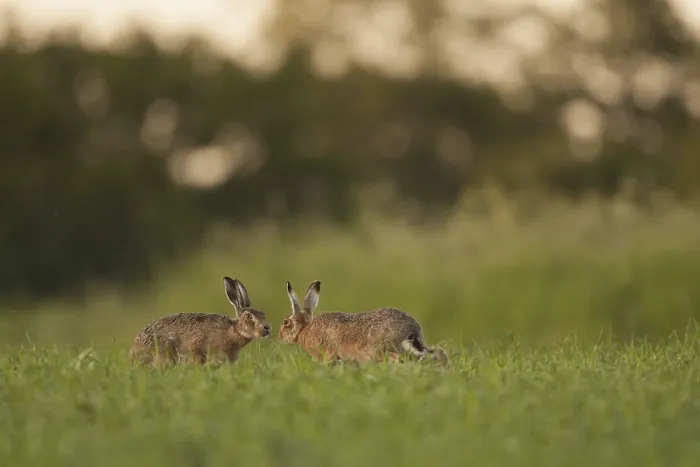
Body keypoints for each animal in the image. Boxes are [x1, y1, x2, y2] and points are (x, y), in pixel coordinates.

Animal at [278, 280, 448, 366]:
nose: (279, 337)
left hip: (378, 350)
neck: (305, 329)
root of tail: (409, 330)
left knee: (396, 359)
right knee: (438, 352)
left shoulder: (327, 353)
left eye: (286, 322)